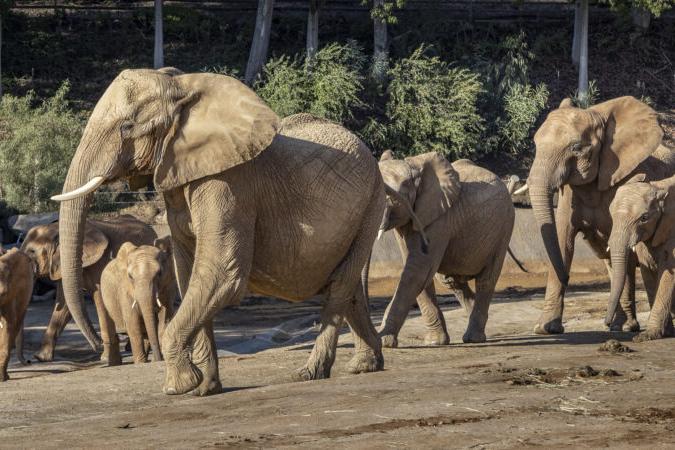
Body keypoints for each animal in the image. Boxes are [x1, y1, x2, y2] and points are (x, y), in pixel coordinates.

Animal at [20, 216, 157, 361]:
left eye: (32, 252)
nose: (98, 345)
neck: (56, 229)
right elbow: (64, 305)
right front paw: (41, 357)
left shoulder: (100, 264)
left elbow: (101, 301)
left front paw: (105, 358)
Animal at [50, 69, 385, 396]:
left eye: (127, 126)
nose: (97, 347)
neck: (181, 87)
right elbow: (191, 277)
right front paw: (205, 388)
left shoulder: (229, 183)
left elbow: (220, 271)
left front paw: (178, 387)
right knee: (348, 287)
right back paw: (366, 364)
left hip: (372, 203)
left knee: (340, 285)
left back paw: (310, 373)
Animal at [376, 151, 515, 346]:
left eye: (399, 191)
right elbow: (417, 271)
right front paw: (435, 342)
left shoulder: (440, 218)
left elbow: (418, 269)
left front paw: (382, 341)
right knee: (450, 280)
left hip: (504, 226)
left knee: (487, 279)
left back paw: (473, 338)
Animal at [605, 175, 675, 341]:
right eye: (611, 215)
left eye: (644, 218)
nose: (607, 324)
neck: (659, 187)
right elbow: (648, 270)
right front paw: (662, 333)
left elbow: (669, 270)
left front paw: (646, 336)